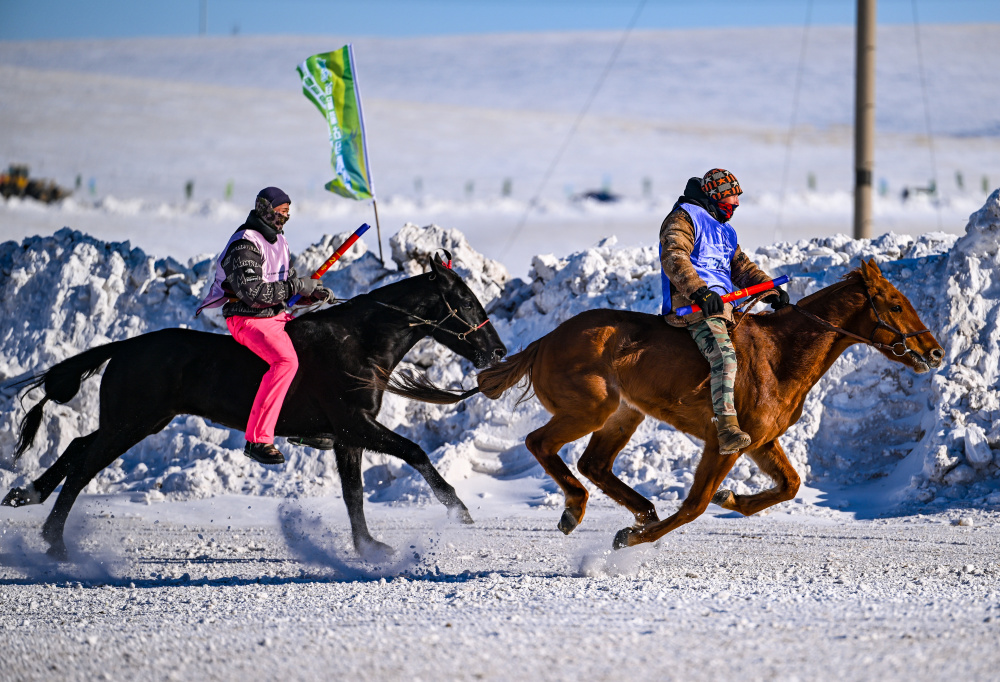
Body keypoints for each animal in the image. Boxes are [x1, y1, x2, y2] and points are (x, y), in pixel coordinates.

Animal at [3, 254, 508, 556]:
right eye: (464, 300)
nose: (498, 351)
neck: (360, 343)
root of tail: (127, 346)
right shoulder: (356, 425)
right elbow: (415, 453)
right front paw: (457, 509)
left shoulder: (348, 437)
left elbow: (354, 494)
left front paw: (368, 546)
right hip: (131, 423)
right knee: (84, 465)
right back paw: (54, 542)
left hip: (136, 421)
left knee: (77, 449)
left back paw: (26, 494)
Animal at [378, 258, 940, 548]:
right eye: (894, 304)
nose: (933, 351)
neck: (780, 354)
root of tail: (546, 340)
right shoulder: (725, 441)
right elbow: (693, 505)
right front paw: (632, 537)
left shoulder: (761, 442)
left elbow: (790, 485)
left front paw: (732, 499)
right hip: (591, 408)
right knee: (542, 443)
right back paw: (578, 509)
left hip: (624, 413)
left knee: (594, 463)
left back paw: (640, 509)